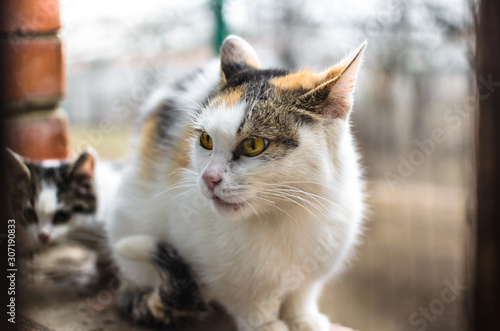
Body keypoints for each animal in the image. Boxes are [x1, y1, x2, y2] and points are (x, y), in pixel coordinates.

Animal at [108, 35, 368, 331]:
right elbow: (245, 297)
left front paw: (304, 319)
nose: (208, 178)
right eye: (206, 140)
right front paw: (265, 324)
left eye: (253, 145)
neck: (284, 213)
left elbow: (301, 293)